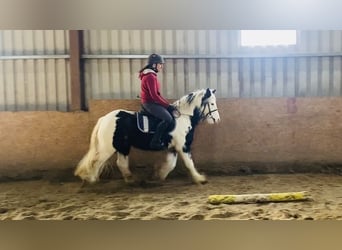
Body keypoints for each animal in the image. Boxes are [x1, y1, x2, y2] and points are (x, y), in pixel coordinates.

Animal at [73, 87, 220, 184]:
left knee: (121, 163)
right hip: (108, 148)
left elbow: (171, 165)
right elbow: (190, 163)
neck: (184, 117)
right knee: (96, 161)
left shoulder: (173, 148)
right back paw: (90, 179)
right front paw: (200, 178)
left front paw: (158, 176)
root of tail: (104, 118)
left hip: (123, 146)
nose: (217, 120)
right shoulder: (183, 146)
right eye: (212, 103)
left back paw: (130, 179)